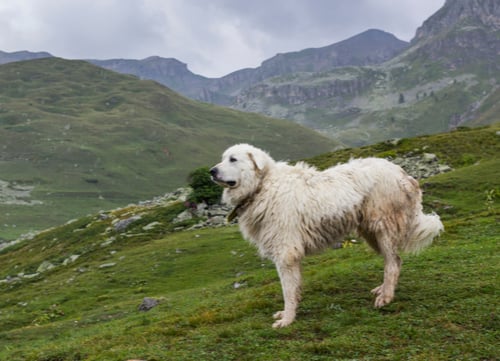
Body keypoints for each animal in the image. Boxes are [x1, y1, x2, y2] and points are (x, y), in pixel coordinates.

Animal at [209, 143, 444, 326]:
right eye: (222, 158)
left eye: (233, 159)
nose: (211, 171)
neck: (262, 186)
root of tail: (403, 174)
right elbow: (294, 287)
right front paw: (288, 313)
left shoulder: (286, 253)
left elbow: (287, 290)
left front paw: (287, 319)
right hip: (372, 233)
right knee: (393, 261)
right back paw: (382, 289)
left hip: (382, 228)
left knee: (393, 263)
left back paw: (386, 297)